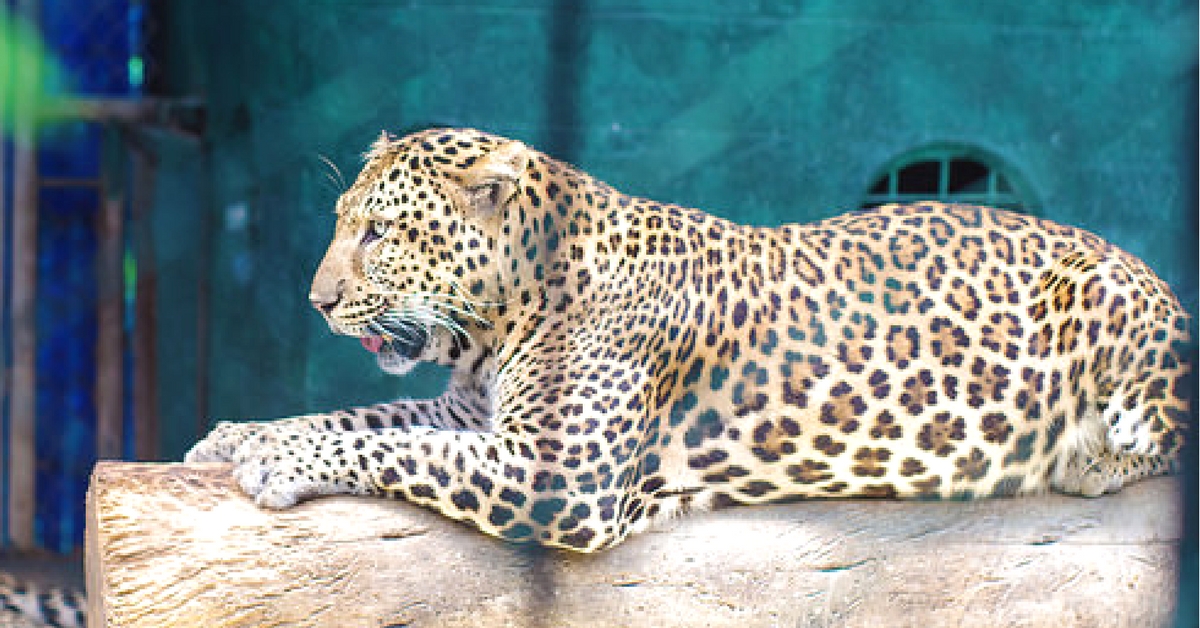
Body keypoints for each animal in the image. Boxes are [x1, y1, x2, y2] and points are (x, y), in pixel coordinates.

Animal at [184, 126, 1190, 549]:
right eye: (344, 223)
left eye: (378, 233)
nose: (317, 302)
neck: (496, 325)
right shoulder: (468, 416)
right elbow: (367, 418)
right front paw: (239, 435)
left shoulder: (563, 477)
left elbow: (390, 447)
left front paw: (276, 458)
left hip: (1112, 308)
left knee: (1169, 441)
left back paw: (1084, 458)